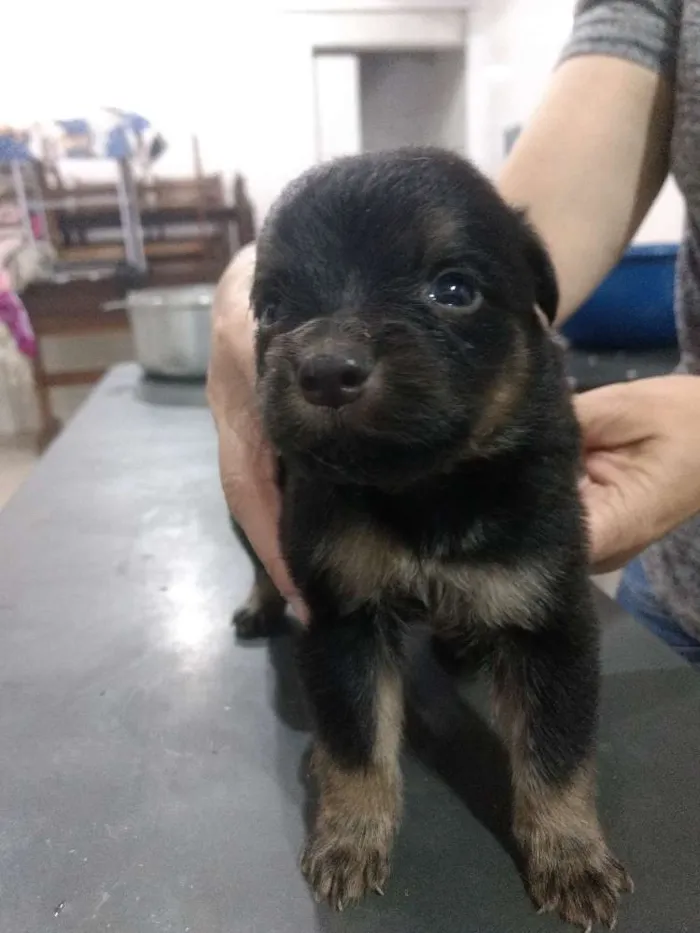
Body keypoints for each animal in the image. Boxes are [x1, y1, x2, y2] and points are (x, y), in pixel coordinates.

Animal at [232, 149, 632, 928]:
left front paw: (571, 855)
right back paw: (259, 605)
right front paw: (351, 837)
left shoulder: (551, 618)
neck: (427, 487)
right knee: (259, 562)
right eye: (271, 308)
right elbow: (356, 740)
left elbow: (555, 751)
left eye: (453, 289)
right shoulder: (344, 614)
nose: (325, 370)